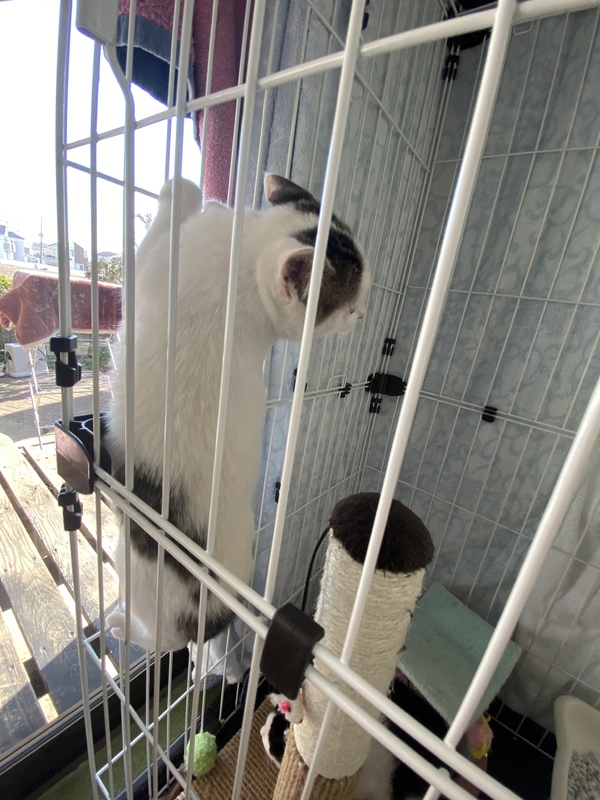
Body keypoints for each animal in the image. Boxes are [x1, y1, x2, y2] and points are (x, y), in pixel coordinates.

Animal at [105, 173, 370, 652]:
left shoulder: (152, 271)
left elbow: (140, 260)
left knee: (165, 640)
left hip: (136, 569)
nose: (362, 318)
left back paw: (125, 627)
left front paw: (183, 191)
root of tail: (220, 612)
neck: (242, 257)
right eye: (351, 306)